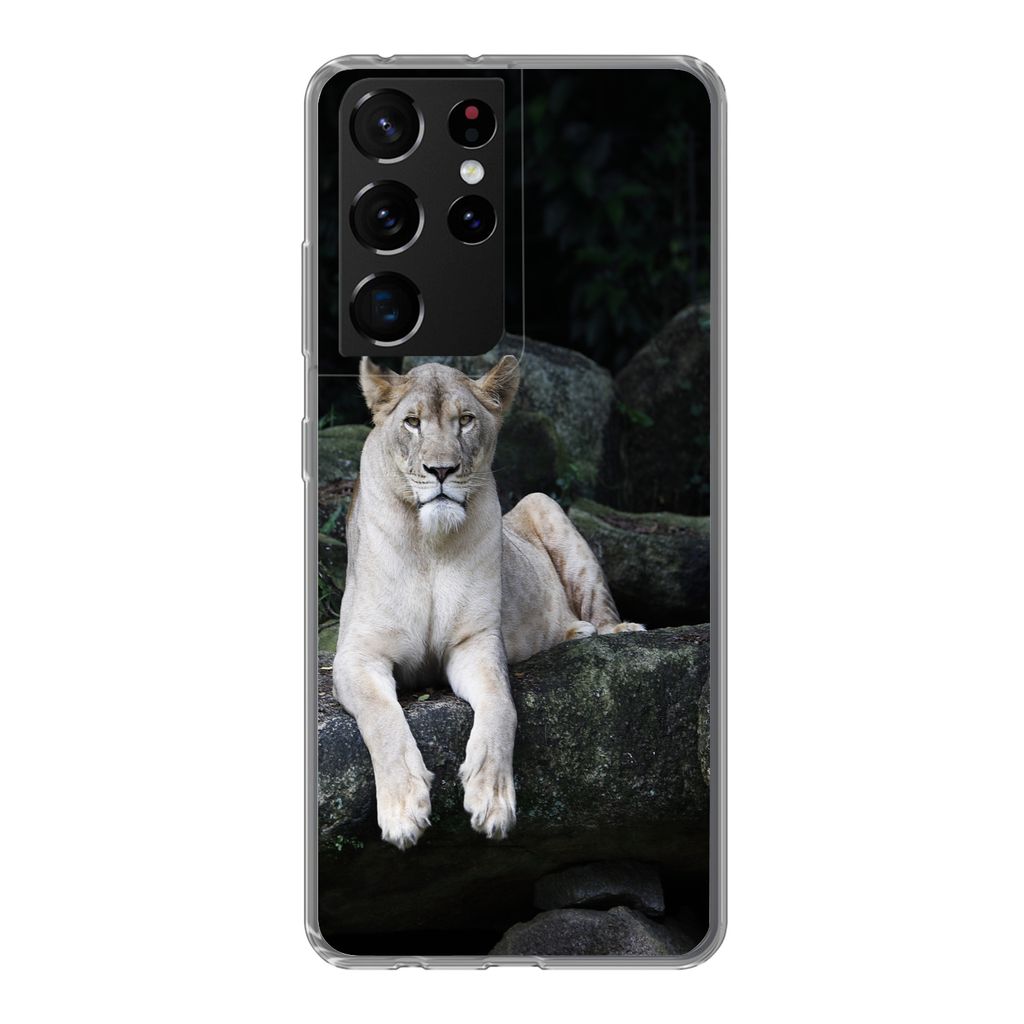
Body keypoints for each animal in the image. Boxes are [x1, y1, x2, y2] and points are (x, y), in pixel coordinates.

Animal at [332, 355, 643, 850]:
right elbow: (382, 717)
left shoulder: (475, 644)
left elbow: (501, 705)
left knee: (600, 608)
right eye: (412, 422)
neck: (430, 544)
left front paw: (492, 800)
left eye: (465, 420)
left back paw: (607, 630)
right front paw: (403, 811)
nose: (441, 470)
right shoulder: (357, 655)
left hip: (543, 503)